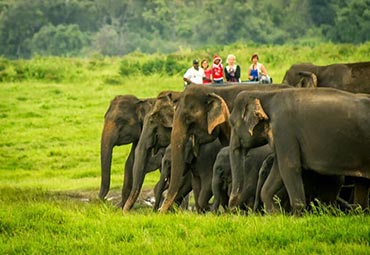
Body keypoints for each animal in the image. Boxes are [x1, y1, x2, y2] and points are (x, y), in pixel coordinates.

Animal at [228, 87, 370, 213]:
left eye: (232, 124)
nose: (234, 209)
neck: (265, 93)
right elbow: (278, 171)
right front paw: (276, 215)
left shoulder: (284, 129)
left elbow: (289, 167)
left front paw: (297, 217)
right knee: (362, 183)